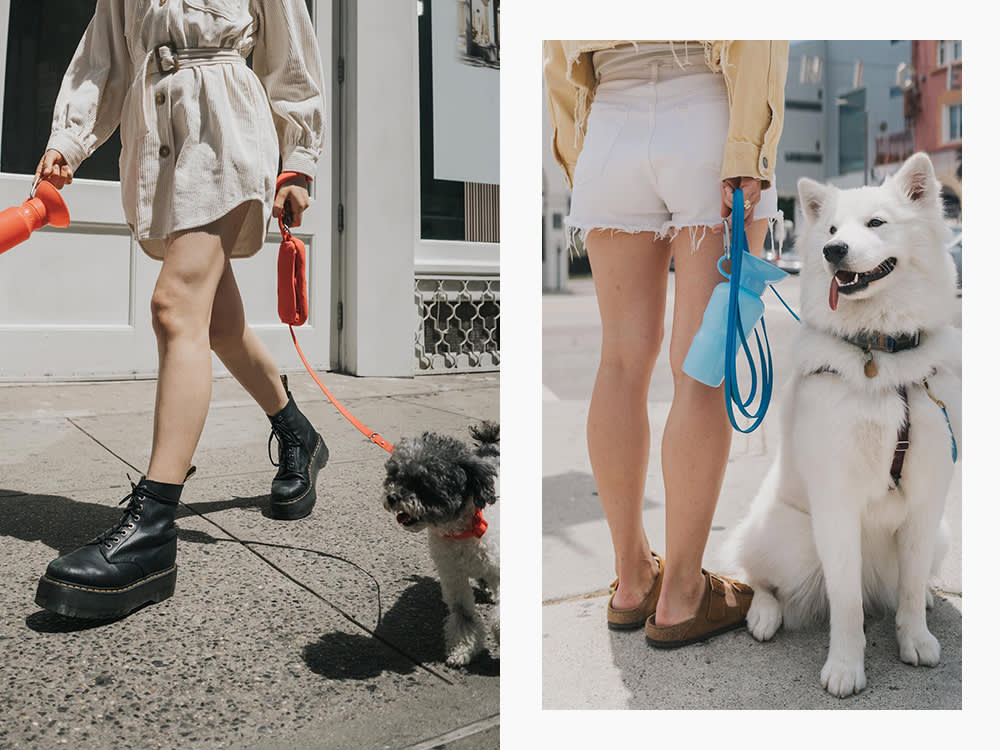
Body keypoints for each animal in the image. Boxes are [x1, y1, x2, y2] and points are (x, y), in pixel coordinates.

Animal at [382, 424, 500, 668]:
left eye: (424, 483)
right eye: (395, 475)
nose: (392, 497)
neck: (461, 531)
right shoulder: (453, 576)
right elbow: (463, 614)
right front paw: (463, 649)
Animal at [728, 153, 960, 700]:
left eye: (876, 223)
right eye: (831, 229)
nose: (833, 251)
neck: (881, 350)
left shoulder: (927, 496)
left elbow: (910, 588)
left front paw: (915, 638)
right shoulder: (835, 499)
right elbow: (847, 602)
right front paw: (846, 668)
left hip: (940, 535)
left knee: (905, 584)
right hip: (788, 538)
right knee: (757, 575)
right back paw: (764, 614)